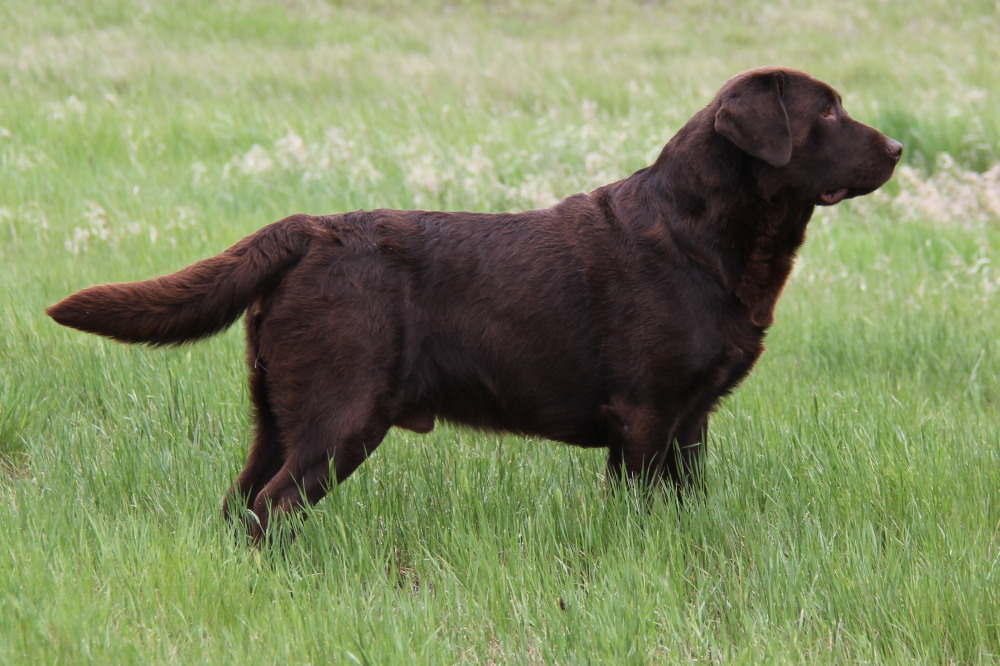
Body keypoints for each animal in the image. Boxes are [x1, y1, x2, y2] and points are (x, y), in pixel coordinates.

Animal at [47, 70, 904, 544]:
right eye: (827, 113)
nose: (898, 149)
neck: (704, 235)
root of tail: (311, 229)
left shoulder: (690, 422)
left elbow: (685, 506)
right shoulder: (644, 416)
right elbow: (638, 513)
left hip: (278, 415)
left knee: (239, 506)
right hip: (341, 416)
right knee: (272, 508)